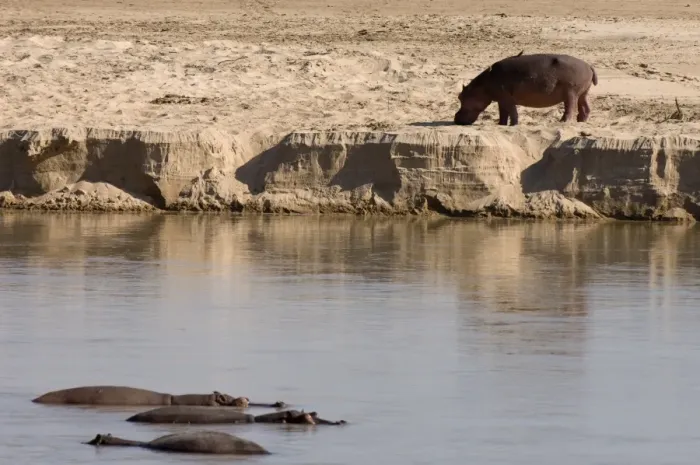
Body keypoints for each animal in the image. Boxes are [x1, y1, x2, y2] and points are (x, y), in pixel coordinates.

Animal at [454, 52, 598, 126]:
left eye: (461, 97)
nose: (456, 118)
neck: (482, 86)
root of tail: (589, 65)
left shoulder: (506, 98)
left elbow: (512, 112)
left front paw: (513, 125)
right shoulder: (501, 99)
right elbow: (503, 113)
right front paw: (501, 125)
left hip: (571, 93)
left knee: (570, 108)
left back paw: (562, 122)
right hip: (582, 93)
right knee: (585, 107)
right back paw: (581, 121)